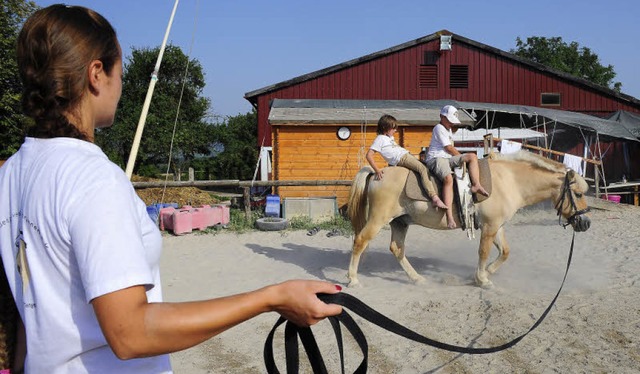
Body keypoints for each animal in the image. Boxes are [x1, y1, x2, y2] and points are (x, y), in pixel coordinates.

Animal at [348, 150, 592, 288]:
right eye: (579, 194)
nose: (586, 223)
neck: (509, 180)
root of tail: (377, 173)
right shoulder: (490, 227)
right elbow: (483, 252)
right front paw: (482, 279)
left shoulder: (497, 226)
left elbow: (505, 252)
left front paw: (485, 273)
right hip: (378, 219)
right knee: (360, 241)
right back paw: (353, 279)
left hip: (400, 222)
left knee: (397, 249)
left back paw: (417, 278)